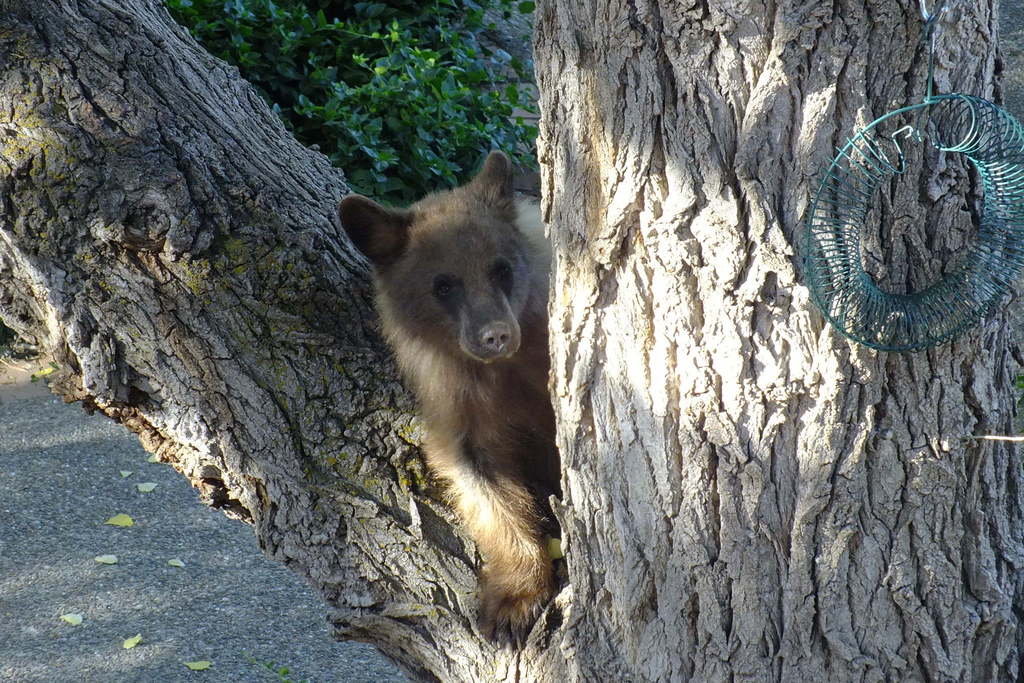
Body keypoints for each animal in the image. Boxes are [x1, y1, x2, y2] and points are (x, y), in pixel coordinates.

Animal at [339, 150, 557, 647]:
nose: (495, 335)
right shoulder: (457, 399)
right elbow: (478, 475)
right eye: (443, 285)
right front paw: (515, 600)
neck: (506, 368)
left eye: (502, 268)